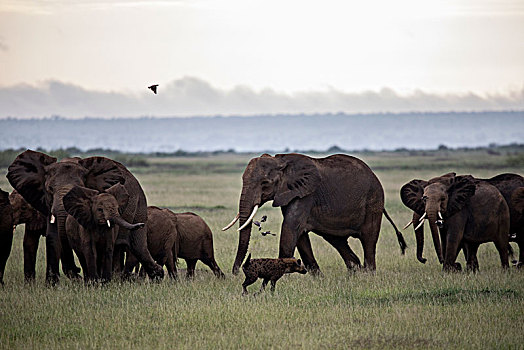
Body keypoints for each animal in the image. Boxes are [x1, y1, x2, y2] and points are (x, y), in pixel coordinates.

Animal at [7, 150, 164, 284]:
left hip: (139, 206)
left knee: (137, 246)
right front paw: (51, 286)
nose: (77, 270)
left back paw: (152, 277)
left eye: (79, 188)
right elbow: (52, 237)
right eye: (49, 189)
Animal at [223, 153, 408, 276]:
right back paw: (356, 273)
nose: (236, 272)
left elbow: (291, 227)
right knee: (338, 241)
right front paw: (318, 278)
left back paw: (368, 274)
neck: (281, 161)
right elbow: (300, 235)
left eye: (265, 183)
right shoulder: (291, 193)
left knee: (369, 239)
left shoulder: (306, 194)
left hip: (374, 201)